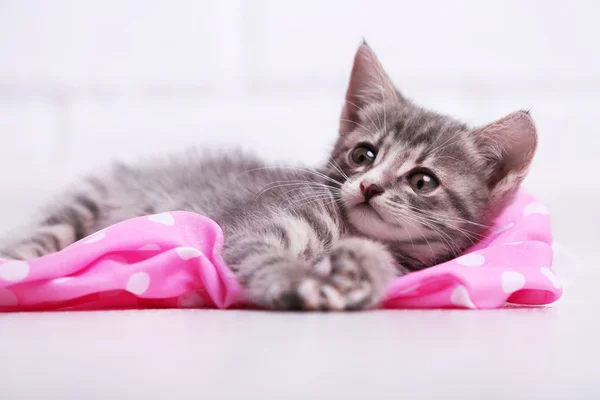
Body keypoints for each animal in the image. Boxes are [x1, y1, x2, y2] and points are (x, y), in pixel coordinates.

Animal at [0, 44, 536, 312]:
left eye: (422, 182)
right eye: (363, 155)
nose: (369, 186)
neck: (346, 228)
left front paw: (361, 271)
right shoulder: (262, 224)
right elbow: (261, 253)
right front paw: (297, 282)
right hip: (79, 209)